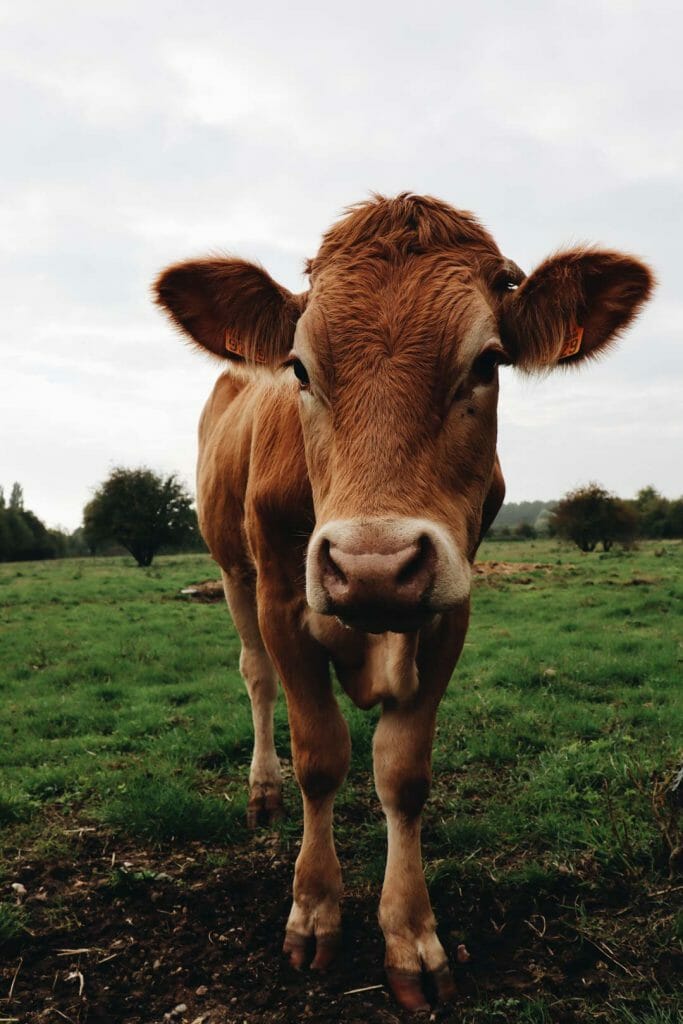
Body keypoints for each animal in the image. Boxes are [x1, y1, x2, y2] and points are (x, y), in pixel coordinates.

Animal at [154, 194, 652, 1011]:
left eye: (486, 362)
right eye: (299, 367)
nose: (373, 567)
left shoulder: (448, 607)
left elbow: (402, 772)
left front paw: (411, 938)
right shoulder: (284, 602)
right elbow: (320, 756)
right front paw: (314, 911)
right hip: (232, 570)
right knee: (255, 678)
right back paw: (262, 792)